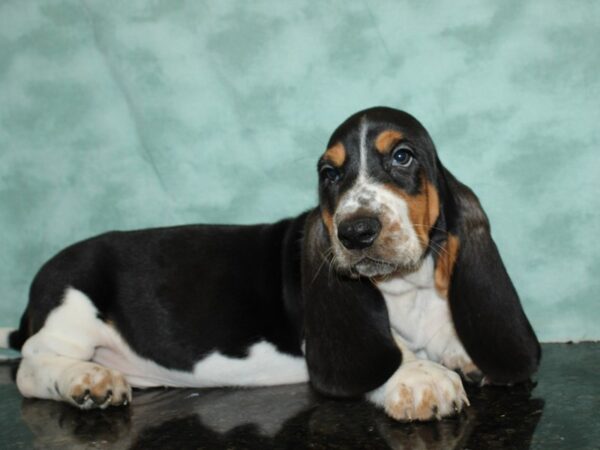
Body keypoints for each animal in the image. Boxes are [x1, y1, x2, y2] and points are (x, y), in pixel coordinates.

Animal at [0, 106, 540, 422]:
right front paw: (420, 378)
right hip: (71, 306)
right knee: (30, 365)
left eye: (403, 157)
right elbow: (394, 350)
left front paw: (462, 352)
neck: (405, 287)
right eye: (329, 174)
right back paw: (87, 382)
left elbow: (446, 330)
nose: (355, 232)